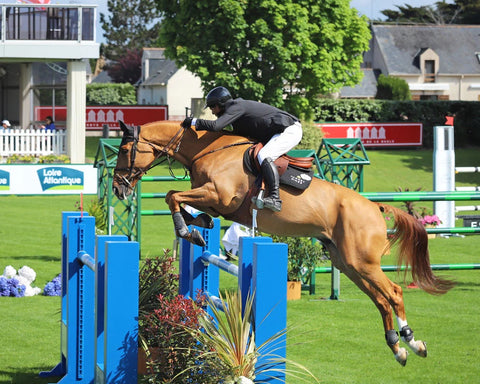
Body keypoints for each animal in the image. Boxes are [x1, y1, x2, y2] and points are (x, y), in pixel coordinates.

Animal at [112, 120, 454, 366]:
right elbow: (179, 200)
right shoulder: (214, 200)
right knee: (381, 301)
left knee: (393, 293)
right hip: (348, 263)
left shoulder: (218, 195)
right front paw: (200, 225)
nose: (117, 188)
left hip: (362, 262)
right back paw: (398, 348)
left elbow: (172, 196)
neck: (205, 150)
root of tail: (374, 207)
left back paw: (412, 342)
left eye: (124, 149)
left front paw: (189, 231)